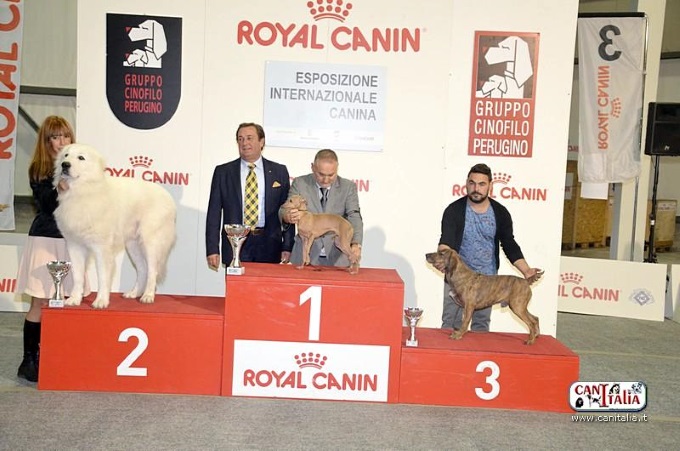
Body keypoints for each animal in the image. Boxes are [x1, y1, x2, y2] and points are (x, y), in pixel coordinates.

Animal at [54, 144, 177, 309]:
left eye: (81, 157)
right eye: (66, 155)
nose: (64, 165)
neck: (84, 191)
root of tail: (169, 198)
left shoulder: (102, 248)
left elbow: (103, 277)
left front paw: (101, 301)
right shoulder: (75, 246)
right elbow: (78, 276)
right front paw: (74, 299)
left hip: (151, 242)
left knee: (152, 270)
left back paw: (148, 295)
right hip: (133, 245)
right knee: (142, 269)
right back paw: (134, 293)